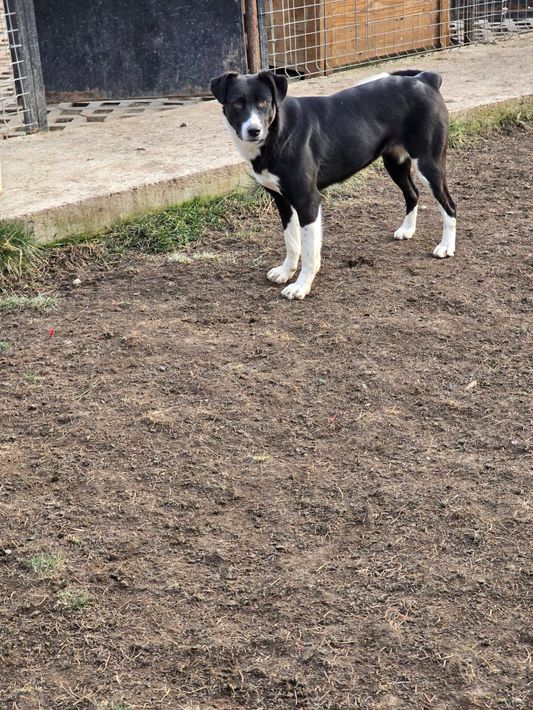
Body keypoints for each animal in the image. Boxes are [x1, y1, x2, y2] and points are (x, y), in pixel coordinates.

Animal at [210, 69, 456, 300]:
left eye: (263, 101)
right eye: (236, 103)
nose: (254, 130)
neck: (277, 132)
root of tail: (425, 79)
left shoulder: (308, 201)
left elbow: (309, 250)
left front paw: (301, 286)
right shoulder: (282, 201)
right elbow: (292, 242)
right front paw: (286, 271)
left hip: (429, 165)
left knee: (449, 206)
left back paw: (446, 247)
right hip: (395, 163)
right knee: (412, 193)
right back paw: (407, 230)